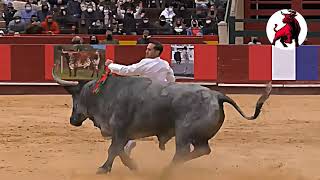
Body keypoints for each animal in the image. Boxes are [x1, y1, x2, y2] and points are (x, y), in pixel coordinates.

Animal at [52, 68, 272, 174]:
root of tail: (217, 95)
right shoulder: (123, 133)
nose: (72, 120)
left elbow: (113, 149)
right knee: (202, 150)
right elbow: (120, 150)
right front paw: (132, 166)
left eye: (74, 96)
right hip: (197, 137)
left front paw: (103, 168)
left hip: (184, 132)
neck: (103, 94)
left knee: (183, 151)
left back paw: (167, 170)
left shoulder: (120, 129)